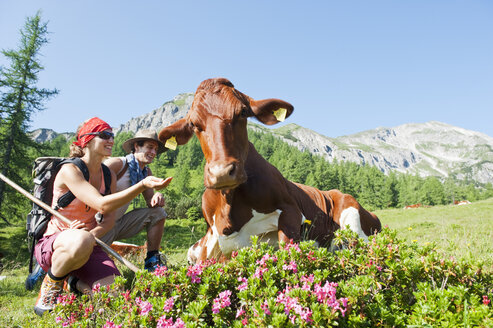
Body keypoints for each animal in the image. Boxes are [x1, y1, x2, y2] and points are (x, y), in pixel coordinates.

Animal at [158, 78, 380, 262]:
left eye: (243, 112)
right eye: (194, 124)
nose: (221, 172)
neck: (229, 205)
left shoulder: (291, 210)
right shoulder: (209, 237)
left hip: (352, 216)